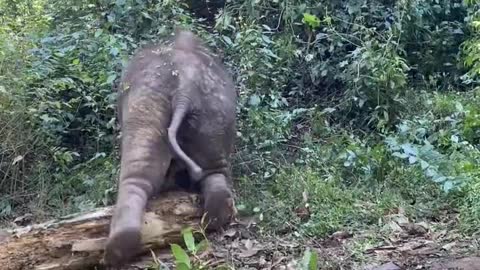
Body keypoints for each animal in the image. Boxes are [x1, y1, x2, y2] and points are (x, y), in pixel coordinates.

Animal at [106, 30, 238, 266]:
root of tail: (185, 87)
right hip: (215, 112)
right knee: (213, 169)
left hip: (146, 106)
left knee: (137, 175)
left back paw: (116, 249)